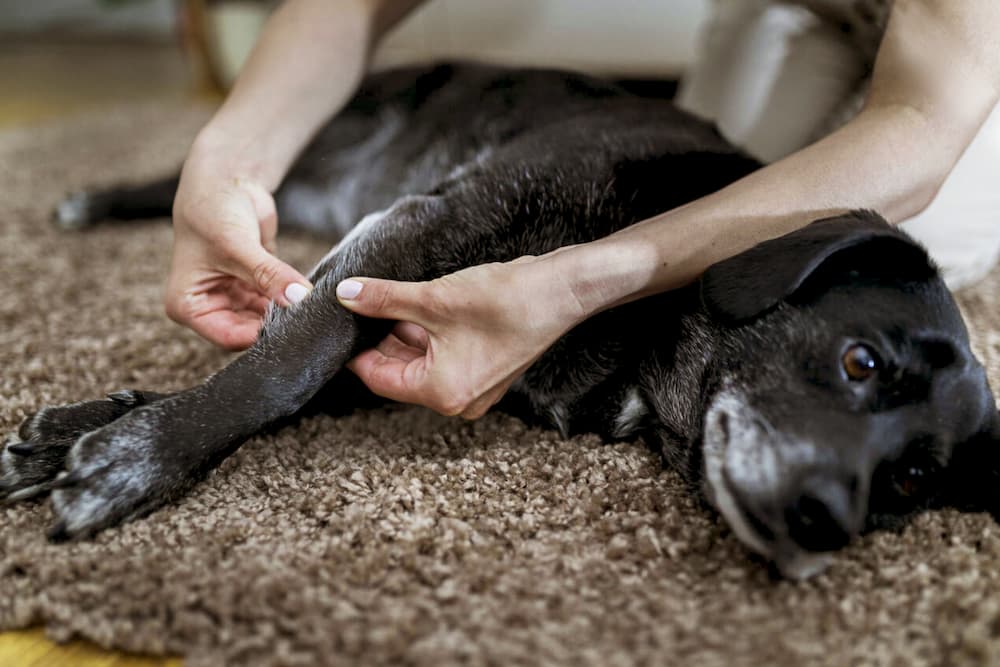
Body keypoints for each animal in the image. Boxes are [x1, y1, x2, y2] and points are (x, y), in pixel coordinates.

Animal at [1, 64, 1000, 580]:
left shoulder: (406, 334)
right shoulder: (418, 230)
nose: (827, 520)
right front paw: (135, 460)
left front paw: (78, 434)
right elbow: (285, 368)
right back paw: (95, 199)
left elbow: (299, 378)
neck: (647, 336)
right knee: (201, 172)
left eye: (911, 480)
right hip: (319, 147)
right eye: (861, 361)